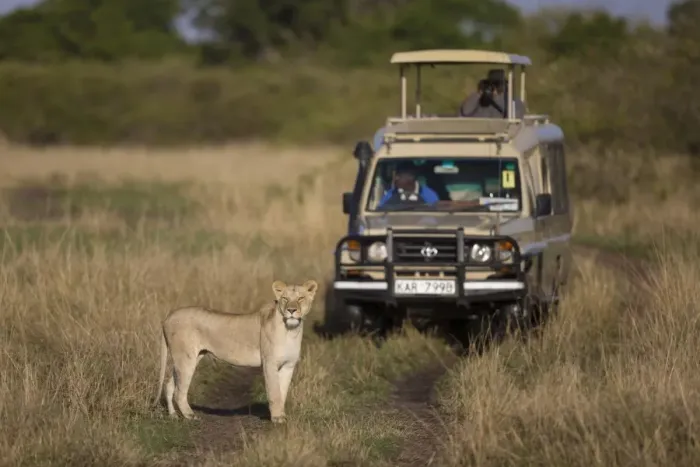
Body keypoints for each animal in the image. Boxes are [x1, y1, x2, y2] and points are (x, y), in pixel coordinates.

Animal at [154, 279, 319, 424]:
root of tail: (168, 317)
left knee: (169, 385)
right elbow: (275, 392)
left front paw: (282, 416)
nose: (291, 310)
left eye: (301, 298)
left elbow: (282, 392)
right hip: (185, 358)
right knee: (179, 392)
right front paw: (277, 418)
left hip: (187, 358)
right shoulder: (269, 363)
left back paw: (173, 416)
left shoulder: (288, 365)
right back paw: (190, 416)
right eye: (285, 298)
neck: (291, 330)